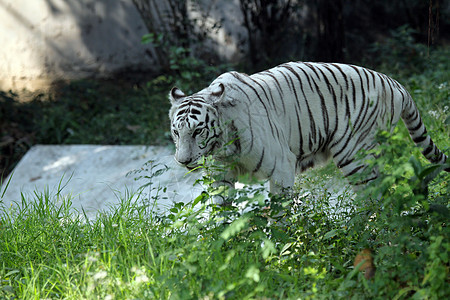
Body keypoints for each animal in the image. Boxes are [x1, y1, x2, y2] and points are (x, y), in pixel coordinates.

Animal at [168, 62, 446, 196]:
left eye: (197, 131)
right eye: (176, 132)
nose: (183, 161)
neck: (222, 146)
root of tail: (395, 83)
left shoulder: (281, 167)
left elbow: (277, 214)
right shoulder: (220, 177)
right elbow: (220, 213)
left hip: (353, 155)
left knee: (373, 195)